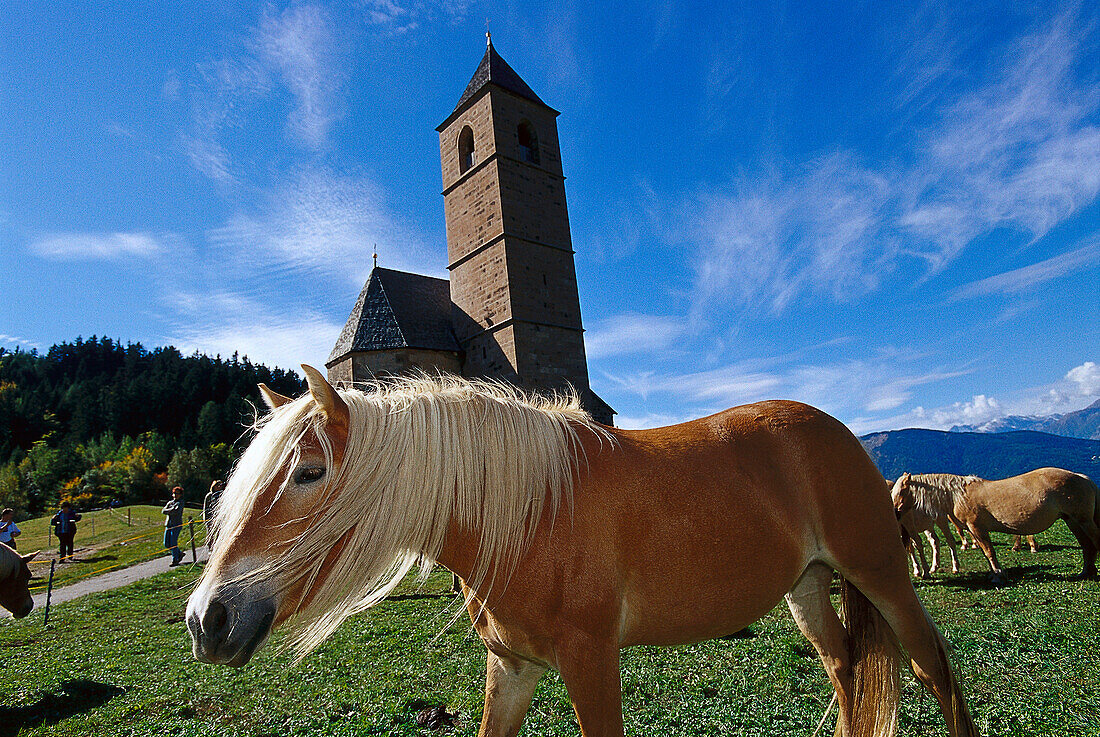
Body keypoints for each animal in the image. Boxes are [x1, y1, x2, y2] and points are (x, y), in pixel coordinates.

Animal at [189, 369, 981, 737]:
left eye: (308, 471)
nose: (207, 619)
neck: (530, 513)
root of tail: (842, 433)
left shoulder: (591, 660)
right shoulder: (511, 667)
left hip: (880, 575)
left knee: (931, 667)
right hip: (809, 585)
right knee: (845, 670)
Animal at [893, 470, 1100, 585]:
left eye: (901, 491)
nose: (894, 513)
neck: (958, 494)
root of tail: (1083, 478)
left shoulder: (977, 529)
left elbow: (989, 552)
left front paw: (998, 576)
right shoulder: (974, 531)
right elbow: (987, 553)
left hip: (1083, 521)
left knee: (1094, 542)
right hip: (1072, 521)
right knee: (1087, 546)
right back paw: (1086, 573)